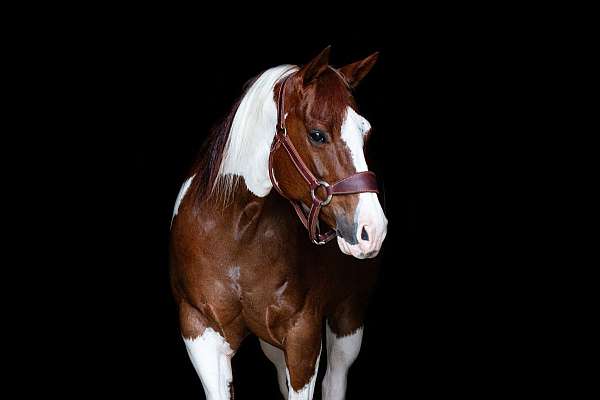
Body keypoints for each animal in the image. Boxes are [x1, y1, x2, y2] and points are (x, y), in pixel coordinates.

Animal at [169, 47, 390, 400]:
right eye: (317, 134)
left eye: (365, 132)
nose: (373, 229)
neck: (237, 235)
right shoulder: (200, 332)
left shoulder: (303, 337)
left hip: (348, 317)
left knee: (334, 379)